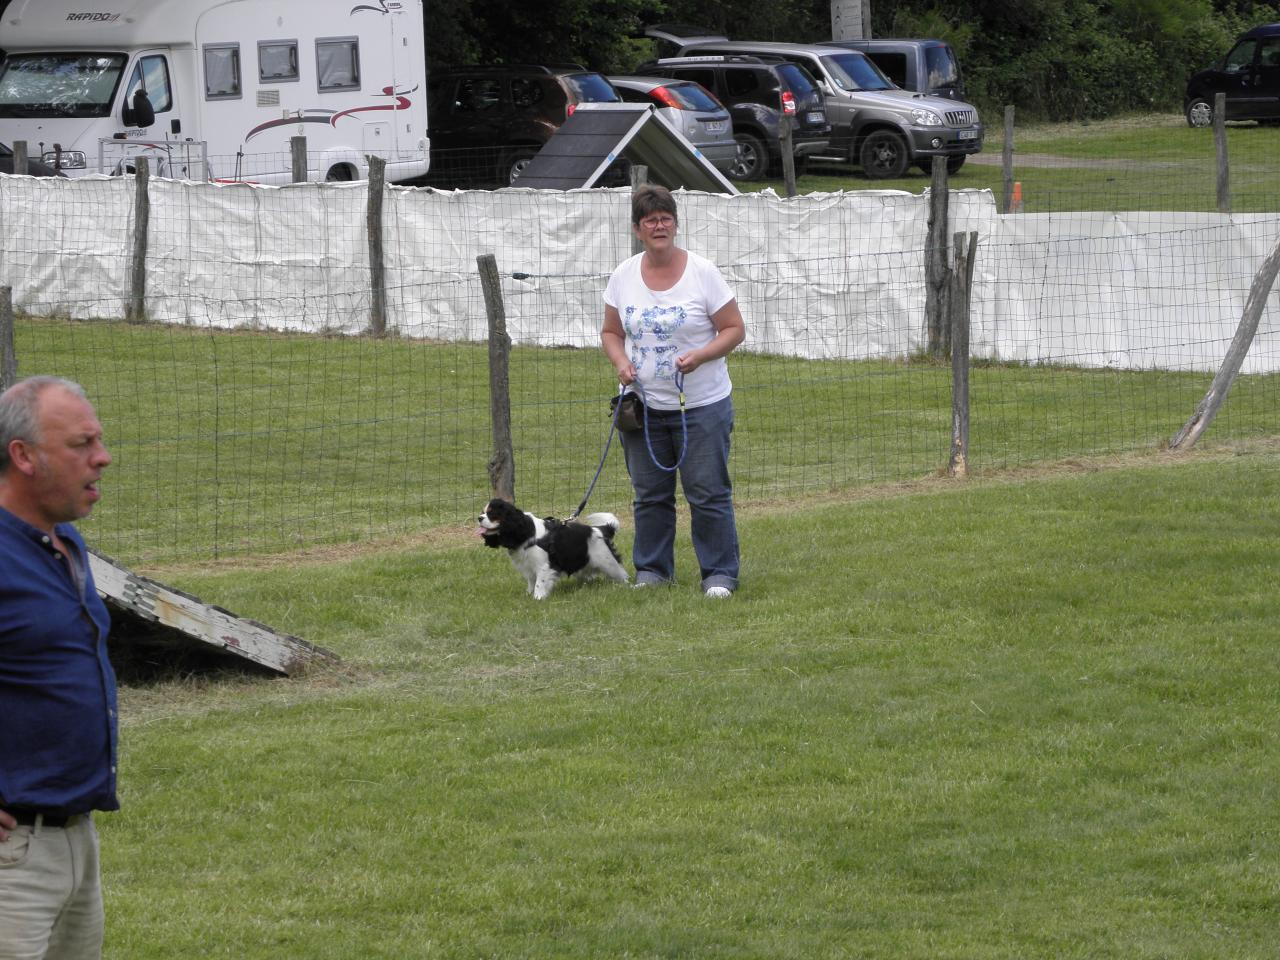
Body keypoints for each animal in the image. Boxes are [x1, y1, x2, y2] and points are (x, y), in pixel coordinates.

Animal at [481, 499, 629, 599]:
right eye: (483, 512)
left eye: (492, 514)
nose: (479, 518)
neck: (525, 530)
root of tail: (602, 529)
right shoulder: (528, 565)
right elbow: (531, 581)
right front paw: (528, 594)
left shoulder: (544, 566)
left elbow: (539, 583)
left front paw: (537, 598)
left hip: (609, 563)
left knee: (621, 574)